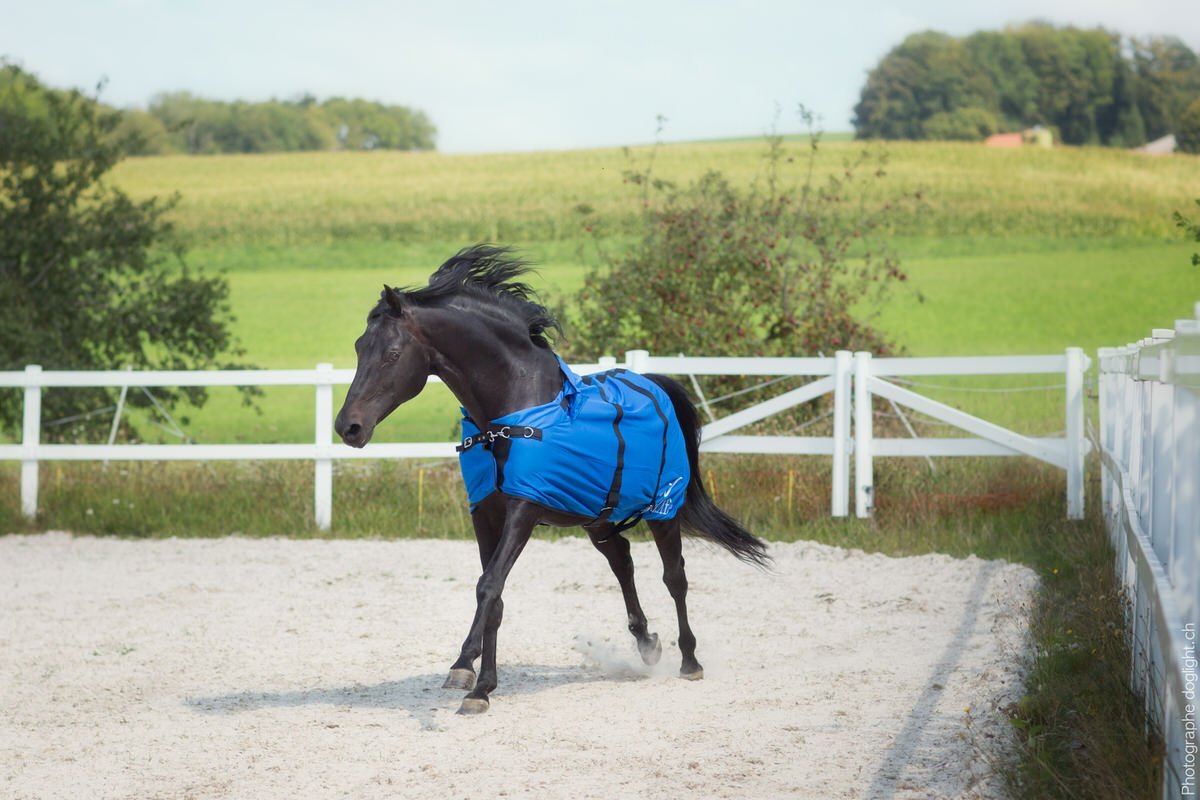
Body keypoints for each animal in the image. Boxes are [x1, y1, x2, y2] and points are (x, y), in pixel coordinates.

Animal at [338, 244, 768, 714]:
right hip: (597, 516)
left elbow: (489, 587)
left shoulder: (524, 511)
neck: (513, 413)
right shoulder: (484, 513)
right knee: (622, 560)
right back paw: (647, 644)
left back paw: (689, 660)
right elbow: (494, 595)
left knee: (675, 576)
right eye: (359, 346)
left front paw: (474, 681)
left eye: (393, 354)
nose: (348, 427)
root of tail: (654, 384)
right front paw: (471, 673)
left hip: (663, 510)